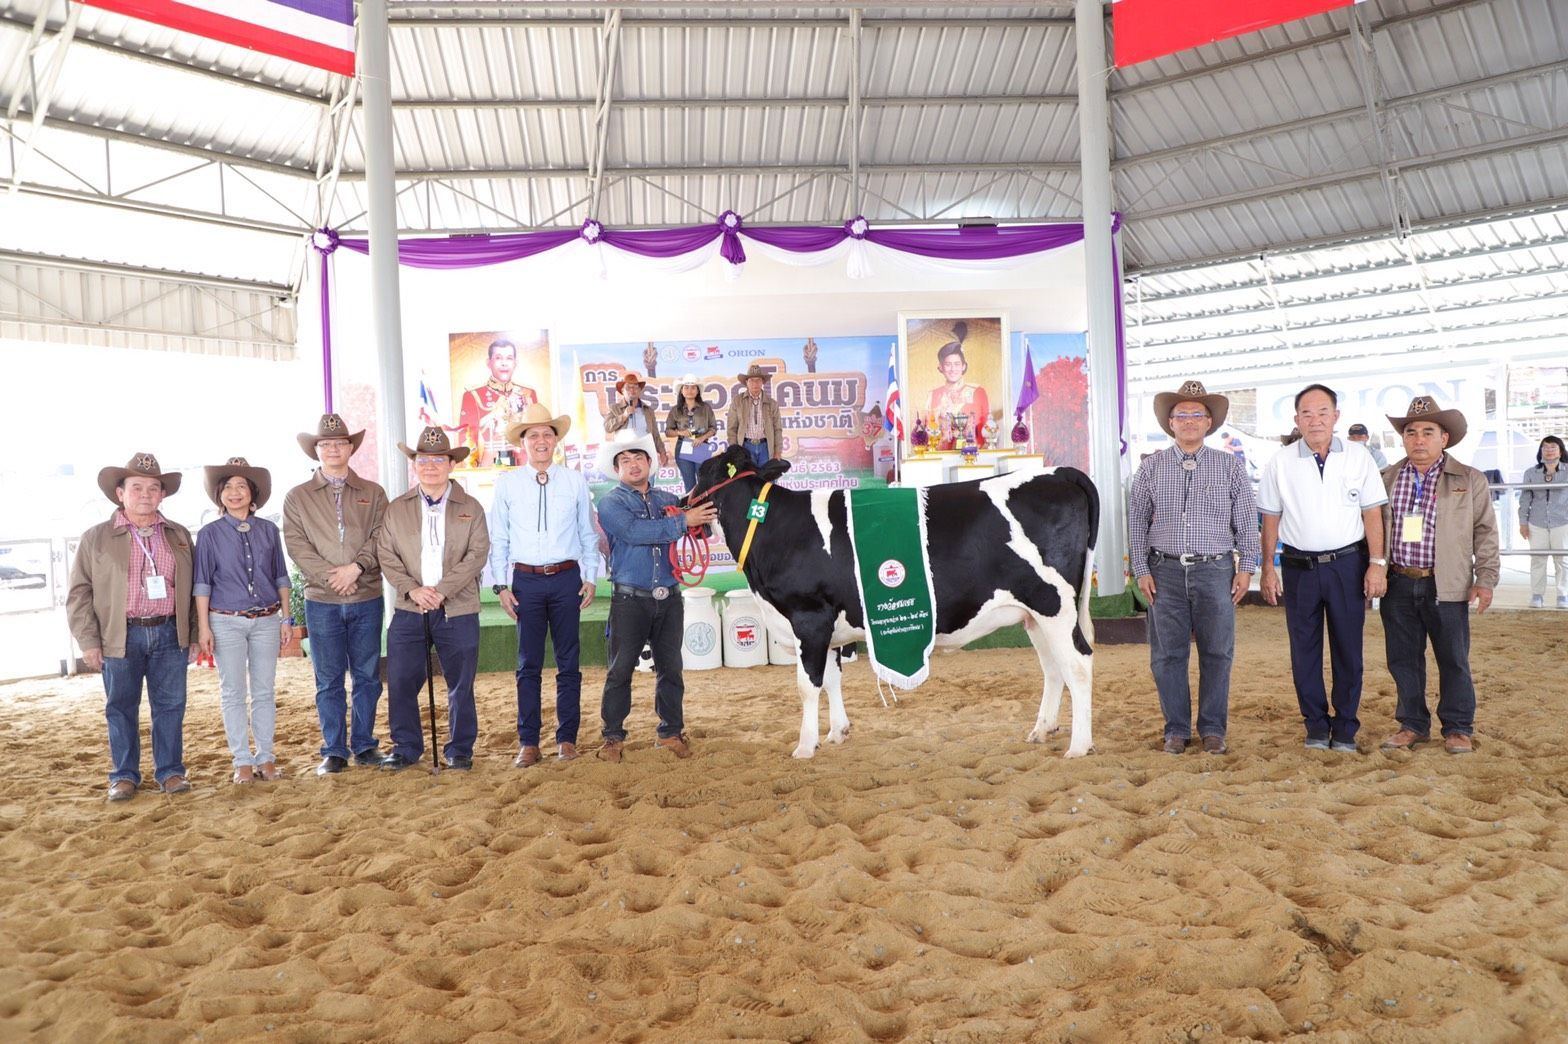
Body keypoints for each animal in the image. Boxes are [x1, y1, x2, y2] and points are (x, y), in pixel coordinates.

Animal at [689, 445, 1099, 759]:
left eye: (703, 471)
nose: (682, 502)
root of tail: (1058, 472)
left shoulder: (809, 617)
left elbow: (809, 685)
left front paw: (805, 747)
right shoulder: (828, 627)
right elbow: (833, 679)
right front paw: (837, 733)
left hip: (1054, 604)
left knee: (1078, 665)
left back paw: (1079, 746)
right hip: (1034, 615)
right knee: (1053, 668)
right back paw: (1042, 730)